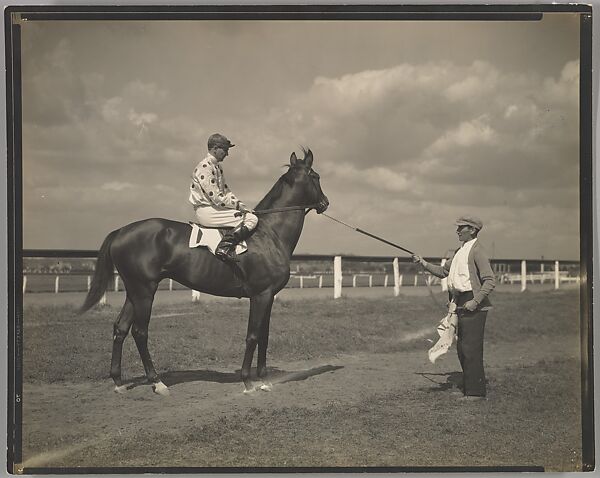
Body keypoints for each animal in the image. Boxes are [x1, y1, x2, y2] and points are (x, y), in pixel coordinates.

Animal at [79, 149, 328, 396]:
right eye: (316, 176)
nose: (325, 203)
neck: (269, 233)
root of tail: (121, 231)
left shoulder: (268, 296)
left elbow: (264, 337)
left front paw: (264, 380)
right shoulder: (260, 295)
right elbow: (253, 336)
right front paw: (248, 382)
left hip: (134, 291)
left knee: (120, 328)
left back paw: (118, 381)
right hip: (144, 292)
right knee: (140, 332)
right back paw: (157, 382)